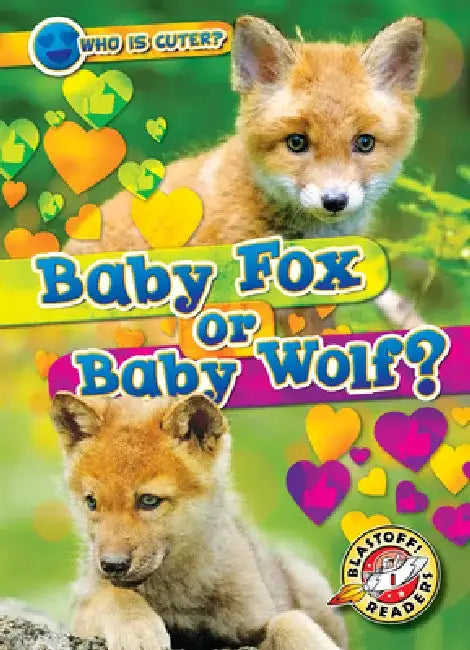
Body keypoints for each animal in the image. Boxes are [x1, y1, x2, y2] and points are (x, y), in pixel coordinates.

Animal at [50, 391, 348, 650]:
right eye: (91, 502)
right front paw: (138, 630)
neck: (178, 597)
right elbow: (113, 596)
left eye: (149, 501)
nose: (112, 565)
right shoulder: (84, 606)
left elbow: (288, 620)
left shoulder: (252, 622)